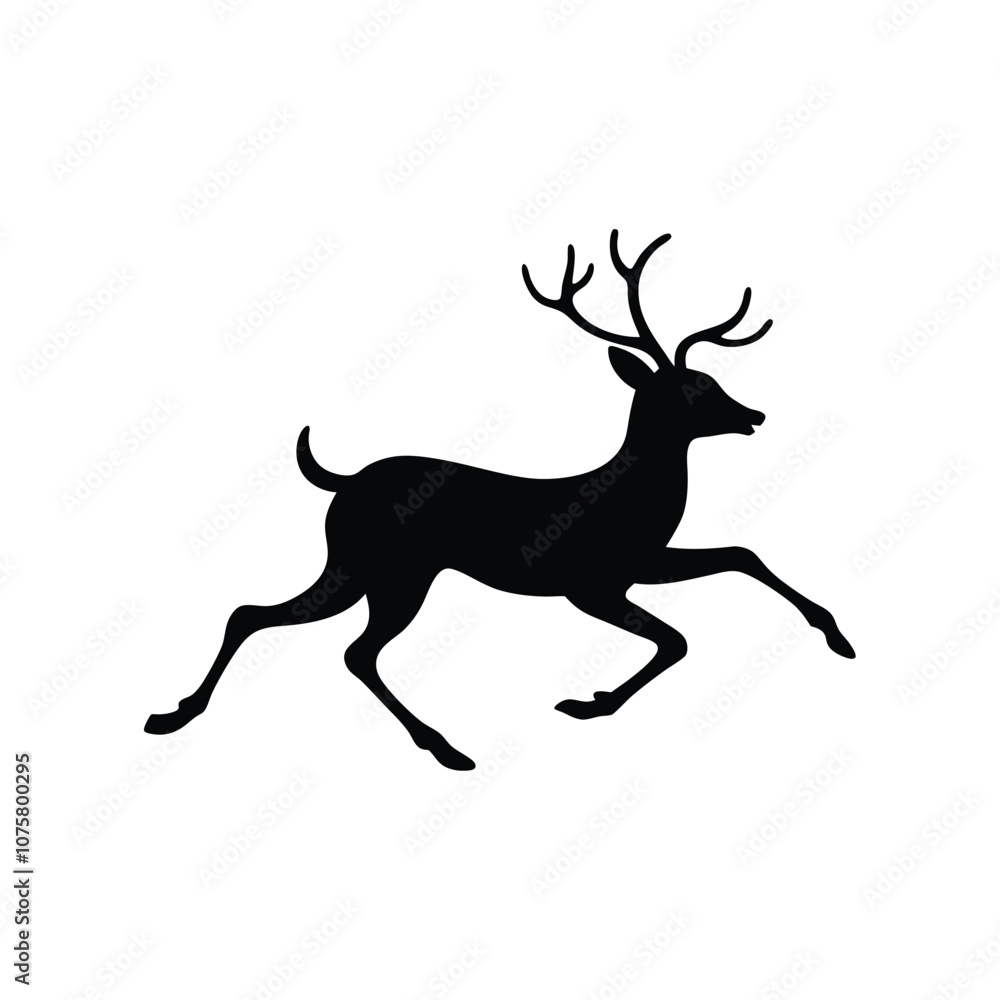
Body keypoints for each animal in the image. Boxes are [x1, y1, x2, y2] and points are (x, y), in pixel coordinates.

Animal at [145, 230, 855, 770]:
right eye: (693, 388)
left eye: (710, 380)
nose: (753, 415)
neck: (634, 500)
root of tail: (342, 480)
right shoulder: (589, 582)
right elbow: (677, 639)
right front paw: (589, 702)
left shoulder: (640, 564)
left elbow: (740, 554)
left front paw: (838, 636)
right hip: (395, 571)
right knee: (348, 648)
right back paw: (445, 748)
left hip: (355, 566)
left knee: (261, 616)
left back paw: (174, 714)